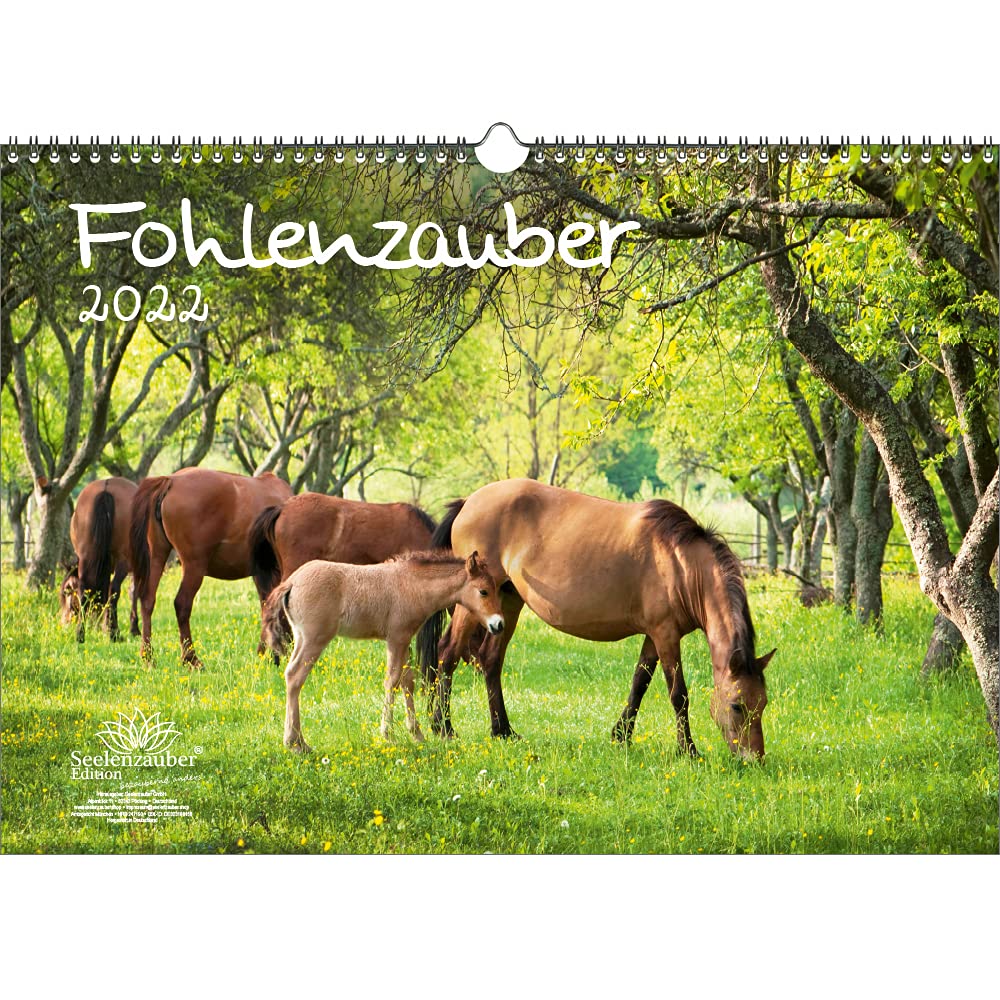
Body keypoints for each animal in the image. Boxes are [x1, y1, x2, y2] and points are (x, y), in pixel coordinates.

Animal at [59, 477, 140, 642]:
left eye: (66, 591)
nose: (64, 623)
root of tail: (106, 488)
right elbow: (132, 591)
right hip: (123, 560)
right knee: (114, 589)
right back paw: (114, 633)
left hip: (87, 556)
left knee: (87, 590)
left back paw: (81, 634)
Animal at [129, 467, 292, 666]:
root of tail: (171, 480)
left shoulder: (261, 574)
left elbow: (267, 606)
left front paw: (265, 653)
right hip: (194, 566)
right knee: (182, 604)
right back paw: (191, 659)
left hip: (157, 557)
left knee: (147, 600)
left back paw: (148, 657)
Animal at [263, 550, 504, 752]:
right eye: (483, 591)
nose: (498, 624)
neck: (412, 586)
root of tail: (292, 582)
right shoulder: (396, 638)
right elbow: (392, 680)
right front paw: (388, 734)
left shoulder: (405, 640)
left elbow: (408, 681)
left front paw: (417, 734)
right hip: (315, 639)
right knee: (295, 676)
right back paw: (296, 744)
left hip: (301, 637)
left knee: (289, 674)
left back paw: (296, 740)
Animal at [416, 479, 776, 760]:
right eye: (737, 706)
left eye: (763, 703)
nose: (753, 758)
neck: (680, 561)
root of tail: (467, 502)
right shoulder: (666, 634)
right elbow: (678, 694)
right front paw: (688, 750)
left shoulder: (654, 635)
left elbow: (639, 682)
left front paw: (622, 735)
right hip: (472, 605)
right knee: (447, 655)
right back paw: (443, 727)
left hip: (507, 600)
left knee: (491, 661)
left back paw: (502, 729)